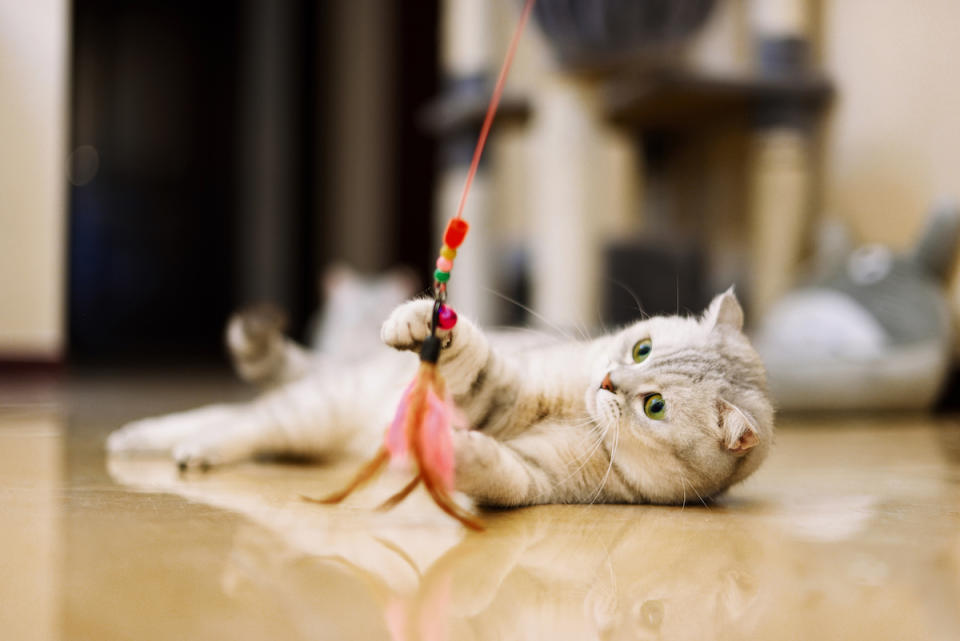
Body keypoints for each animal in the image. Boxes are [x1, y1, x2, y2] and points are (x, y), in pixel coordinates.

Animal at [110, 288, 772, 504]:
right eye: (641, 349)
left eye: (654, 406)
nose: (609, 381)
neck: (578, 410)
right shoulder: (507, 388)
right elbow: (476, 364)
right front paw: (427, 323)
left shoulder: (534, 478)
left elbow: (499, 472)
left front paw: (462, 452)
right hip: (312, 411)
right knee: (236, 419)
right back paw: (154, 442)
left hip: (309, 425)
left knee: (237, 418)